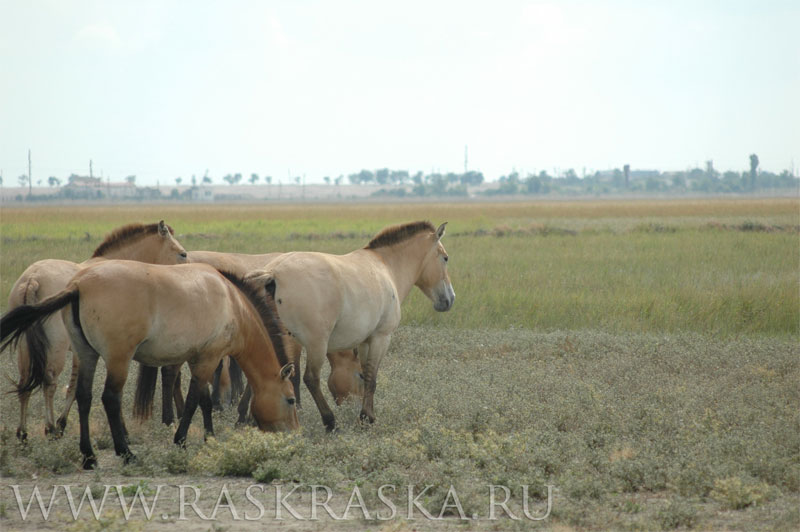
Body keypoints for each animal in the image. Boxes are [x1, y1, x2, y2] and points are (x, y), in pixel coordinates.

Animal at [0, 262, 300, 470]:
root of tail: (78, 285)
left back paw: (89, 457)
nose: (295, 437)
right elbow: (193, 401)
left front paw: (209, 438)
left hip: (86, 355)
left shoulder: (198, 359)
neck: (233, 304)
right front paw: (180, 441)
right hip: (118, 359)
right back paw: (126, 453)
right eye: (291, 399)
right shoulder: (208, 359)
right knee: (110, 398)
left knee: (83, 397)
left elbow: (204, 401)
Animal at [7, 220, 187, 440]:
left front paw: (62, 423)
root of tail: (32, 278)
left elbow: (74, 387)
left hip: (25, 346)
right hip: (56, 348)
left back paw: (23, 433)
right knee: (49, 382)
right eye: (182, 254)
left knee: (24, 382)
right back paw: (49, 428)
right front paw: (60, 425)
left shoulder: (82, 351)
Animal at [244, 220, 456, 432]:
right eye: (445, 258)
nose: (450, 299)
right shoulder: (381, 338)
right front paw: (366, 418)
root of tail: (273, 273)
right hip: (316, 344)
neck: (386, 267)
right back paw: (330, 422)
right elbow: (372, 378)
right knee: (311, 379)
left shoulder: (364, 342)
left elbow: (366, 374)